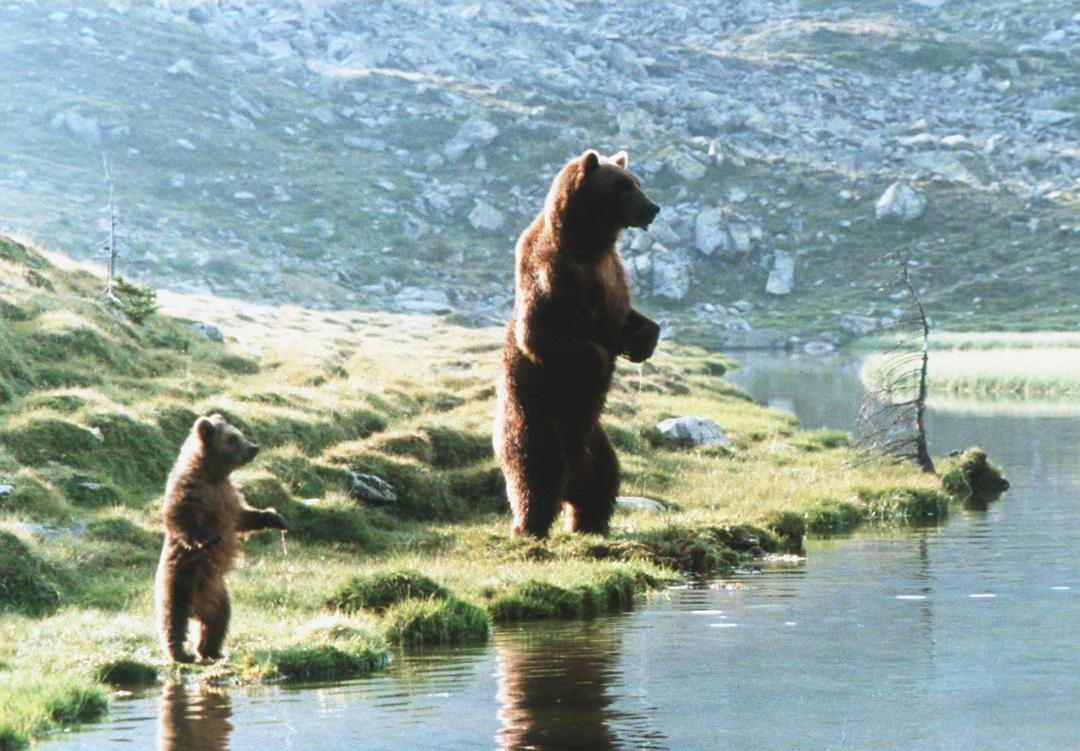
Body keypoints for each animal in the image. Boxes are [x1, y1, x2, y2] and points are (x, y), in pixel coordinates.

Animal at [154, 414, 286, 663]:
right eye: (232, 438)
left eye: (240, 433)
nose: (253, 447)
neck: (213, 475)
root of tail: (197, 609)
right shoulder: (190, 490)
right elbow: (179, 517)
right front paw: (205, 539)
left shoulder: (228, 497)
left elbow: (243, 517)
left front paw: (274, 516)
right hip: (179, 580)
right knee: (173, 618)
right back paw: (181, 653)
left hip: (218, 595)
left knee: (217, 622)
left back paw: (212, 650)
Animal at [494, 149, 661, 538]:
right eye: (623, 186)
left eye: (637, 182)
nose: (653, 208)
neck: (590, 243)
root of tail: (570, 481)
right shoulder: (554, 275)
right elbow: (541, 335)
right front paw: (602, 361)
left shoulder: (613, 274)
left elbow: (628, 315)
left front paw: (643, 341)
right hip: (536, 427)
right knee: (534, 481)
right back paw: (528, 527)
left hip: (596, 444)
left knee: (603, 482)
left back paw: (590, 522)